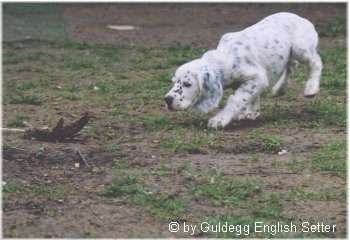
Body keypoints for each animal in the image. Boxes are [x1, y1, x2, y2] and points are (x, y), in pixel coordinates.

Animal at [164, 12, 322, 129]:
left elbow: (236, 98)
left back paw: (311, 88)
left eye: (187, 84)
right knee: (291, 67)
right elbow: (250, 96)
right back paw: (279, 89)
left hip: (300, 49)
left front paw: (220, 119)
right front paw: (252, 113)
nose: (167, 99)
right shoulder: (249, 82)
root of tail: (303, 19)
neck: (223, 59)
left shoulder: (257, 78)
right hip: (290, 54)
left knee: (316, 62)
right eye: (173, 82)